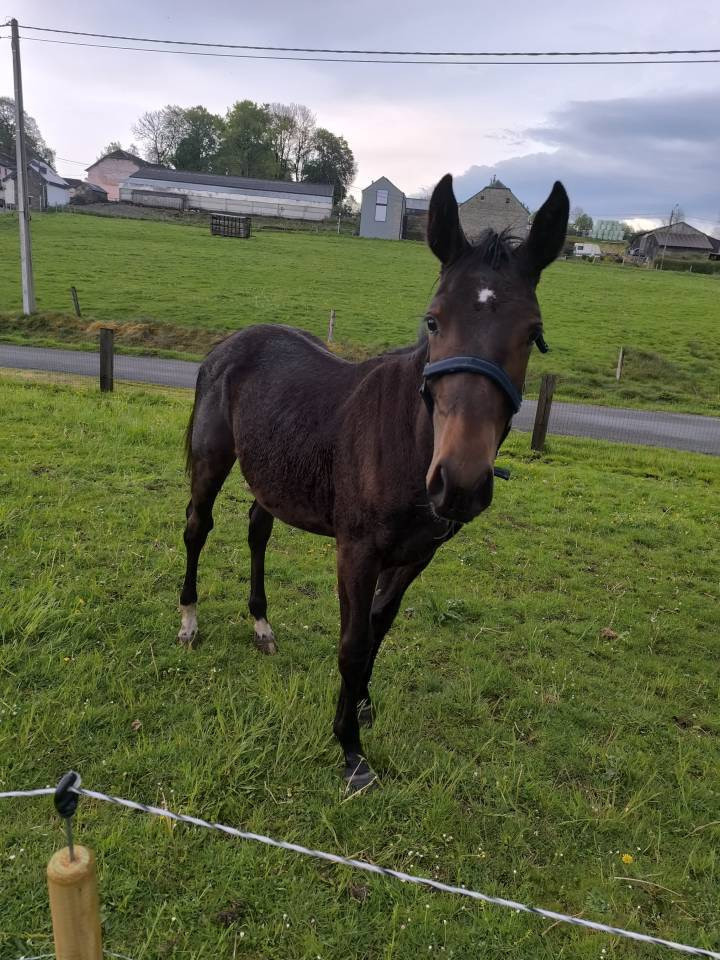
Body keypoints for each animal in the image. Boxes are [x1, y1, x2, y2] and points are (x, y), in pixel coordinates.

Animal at [179, 174, 569, 790]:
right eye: (433, 320)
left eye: (533, 334)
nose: (460, 483)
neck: (408, 445)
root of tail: (229, 343)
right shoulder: (356, 551)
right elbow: (353, 642)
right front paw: (350, 749)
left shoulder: (416, 555)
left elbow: (379, 629)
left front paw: (360, 704)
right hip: (211, 461)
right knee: (198, 527)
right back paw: (189, 621)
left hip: (274, 476)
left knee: (257, 529)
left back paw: (262, 625)